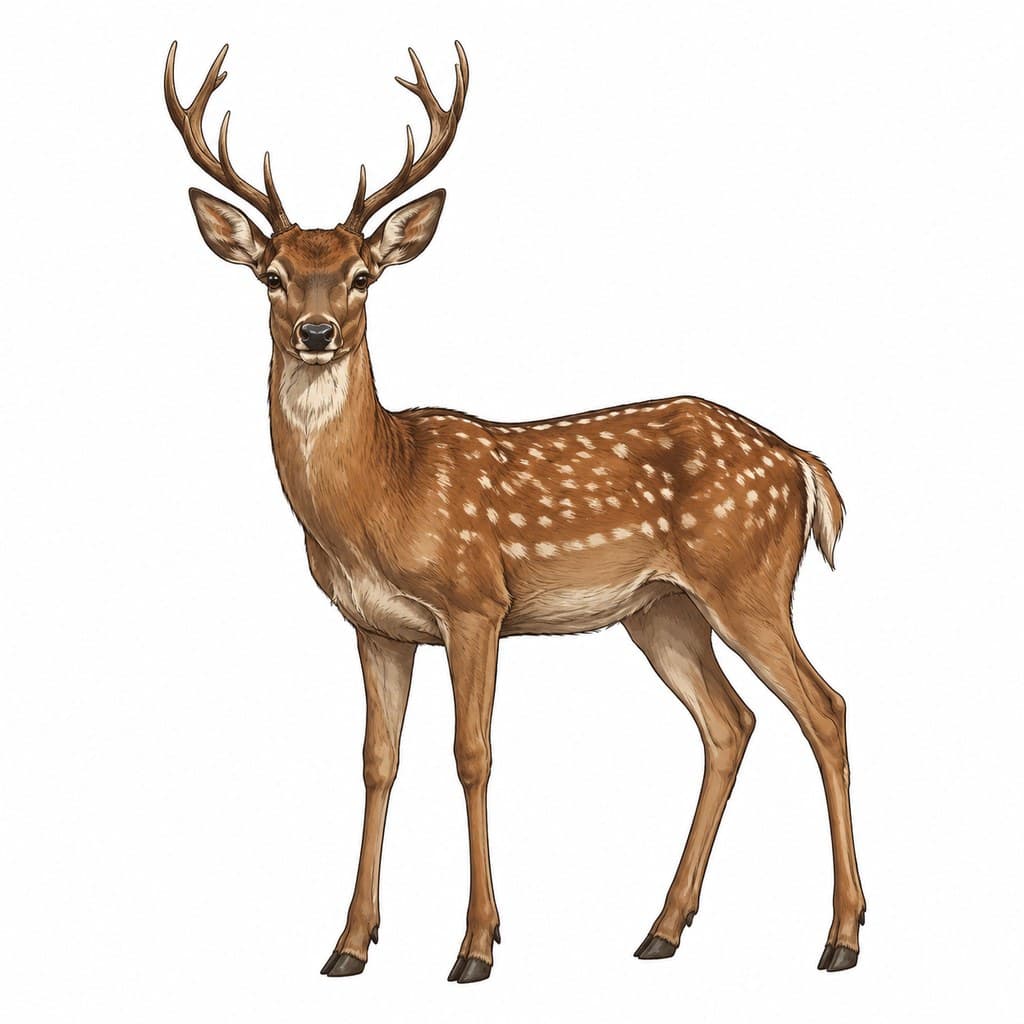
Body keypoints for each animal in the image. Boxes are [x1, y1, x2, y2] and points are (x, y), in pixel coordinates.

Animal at [164, 40, 866, 983]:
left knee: (824, 709)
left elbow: (472, 755)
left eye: (361, 276)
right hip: (662, 609)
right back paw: (661, 929)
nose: (316, 332)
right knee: (731, 723)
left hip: (747, 580)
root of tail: (799, 461)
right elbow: (376, 762)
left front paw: (475, 947)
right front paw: (349, 944)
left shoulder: (476, 601)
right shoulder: (374, 625)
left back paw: (840, 937)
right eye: (271, 276)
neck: (381, 493)